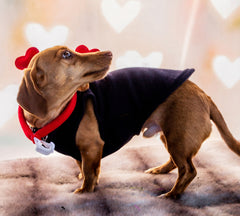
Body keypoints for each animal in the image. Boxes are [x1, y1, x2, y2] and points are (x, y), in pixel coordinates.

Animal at [16, 46, 240, 199]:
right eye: (66, 55)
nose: (108, 52)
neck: (59, 111)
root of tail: (204, 95)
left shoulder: (91, 147)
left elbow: (89, 173)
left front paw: (84, 192)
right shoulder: (83, 152)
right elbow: (86, 169)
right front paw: (86, 181)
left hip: (178, 138)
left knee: (188, 170)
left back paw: (172, 195)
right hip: (170, 137)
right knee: (176, 163)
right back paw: (160, 171)